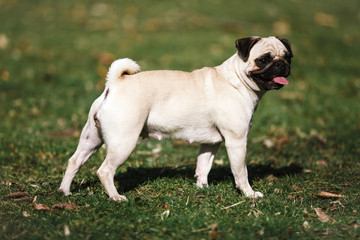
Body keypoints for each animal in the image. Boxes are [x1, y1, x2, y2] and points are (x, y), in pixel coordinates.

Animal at [57, 36, 292, 201]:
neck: (235, 80)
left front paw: (202, 188)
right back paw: (115, 197)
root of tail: (114, 84)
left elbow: (203, 166)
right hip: (124, 141)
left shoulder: (211, 143)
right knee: (105, 170)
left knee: (74, 161)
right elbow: (241, 171)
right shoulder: (237, 141)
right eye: (264, 59)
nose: (282, 65)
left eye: (288, 57)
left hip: (91, 138)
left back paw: (65, 191)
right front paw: (249, 194)